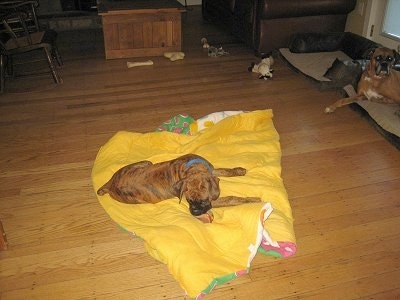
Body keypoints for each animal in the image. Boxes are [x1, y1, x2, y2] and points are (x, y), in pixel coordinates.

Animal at [96, 154, 260, 219]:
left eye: (203, 201)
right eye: (189, 201)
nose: (194, 213)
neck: (193, 169)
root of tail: (110, 184)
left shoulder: (211, 171)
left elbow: (225, 171)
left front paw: (239, 170)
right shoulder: (215, 200)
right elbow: (232, 198)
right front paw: (253, 200)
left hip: (146, 162)